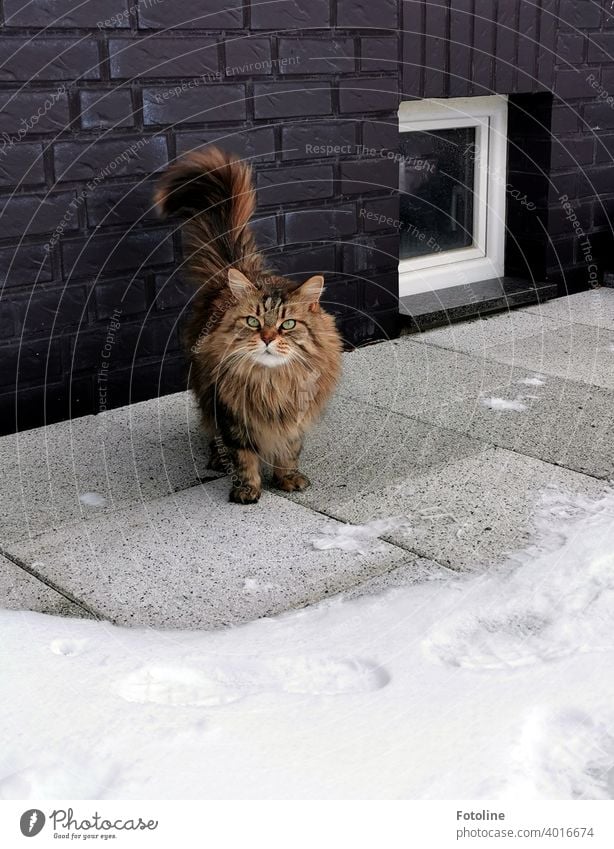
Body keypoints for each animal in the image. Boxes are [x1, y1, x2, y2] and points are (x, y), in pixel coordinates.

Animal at [154, 147, 344, 504]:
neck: (271, 383)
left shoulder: (294, 417)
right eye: (253, 321)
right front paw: (247, 490)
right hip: (206, 394)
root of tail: (236, 270)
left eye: (288, 324)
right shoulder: (231, 415)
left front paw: (287, 479)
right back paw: (217, 459)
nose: (267, 337)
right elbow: (243, 457)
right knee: (212, 433)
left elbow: (289, 451)